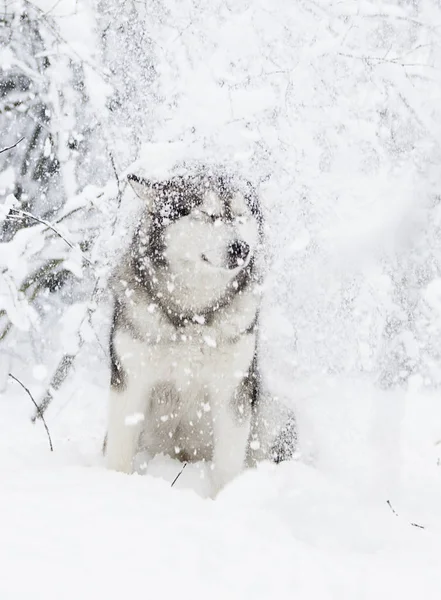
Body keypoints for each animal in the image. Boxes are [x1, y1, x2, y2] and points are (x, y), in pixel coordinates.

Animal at [104, 163, 294, 492]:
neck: (192, 317)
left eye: (242, 216)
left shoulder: (231, 390)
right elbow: (117, 452)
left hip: (272, 411)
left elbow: (228, 465)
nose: (241, 248)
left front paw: (226, 497)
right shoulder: (131, 380)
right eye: (207, 214)